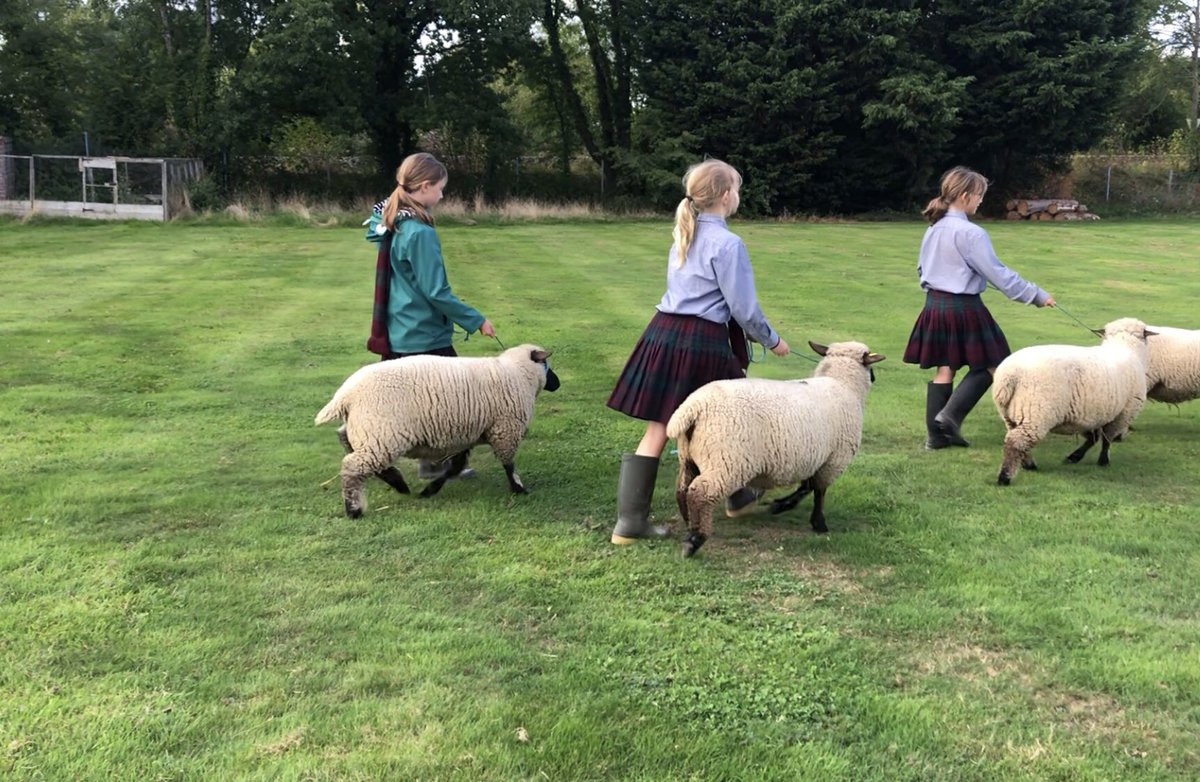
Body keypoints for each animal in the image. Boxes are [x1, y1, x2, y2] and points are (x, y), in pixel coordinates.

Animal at [315, 345, 561, 518]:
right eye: (547, 364)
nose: (557, 384)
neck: (519, 373)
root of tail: (345, 395)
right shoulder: (505, 430)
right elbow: (509, 465)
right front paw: (518, 488)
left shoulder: (467, 436)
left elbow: (454, 468)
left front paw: (430, 490)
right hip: (381, 435)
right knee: (351, 466)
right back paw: (354, 509)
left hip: (367, 432)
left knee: (345, 441)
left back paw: (397, 482)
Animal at [666, 340, 885, 557]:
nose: (875, 378)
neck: (842, 384)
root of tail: (693, 408)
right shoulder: (833, 460)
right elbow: (818, 491)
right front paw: (818, 523)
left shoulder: (815, 458)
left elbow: (807, 486)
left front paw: (780, 505)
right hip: (727, 461)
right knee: (700, 494)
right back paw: (694, 540)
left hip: (690, 457)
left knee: (682, 490)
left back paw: (689, 523)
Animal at [992, 317, 1155, 486]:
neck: (1125, 347)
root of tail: (1009, 375)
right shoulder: (1123, 413)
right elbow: (1106, 439)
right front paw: (1103, 461)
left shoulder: (1091, 415)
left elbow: (1093, 438)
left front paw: (1074, 457)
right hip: (1036, 413)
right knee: (1015, 443)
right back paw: (1005, 477)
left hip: (1011, 414)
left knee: (1015, 439)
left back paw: (1027, 464)